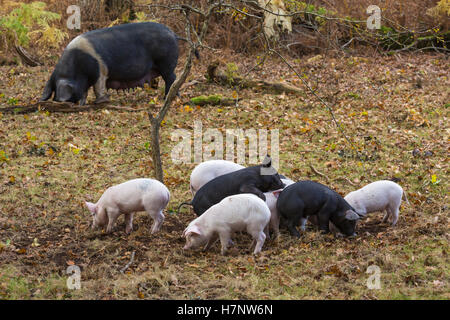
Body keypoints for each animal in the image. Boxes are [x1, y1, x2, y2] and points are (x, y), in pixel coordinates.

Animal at [40, 22, 181, 105]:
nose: (58, 100)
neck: (77, 66)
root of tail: (173, 33)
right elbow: (85, 91)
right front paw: (83, 103)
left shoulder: (101, 71)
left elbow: (98, 87)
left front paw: (101, 101)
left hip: (166, 63)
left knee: (172, 79)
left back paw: (168, 98)